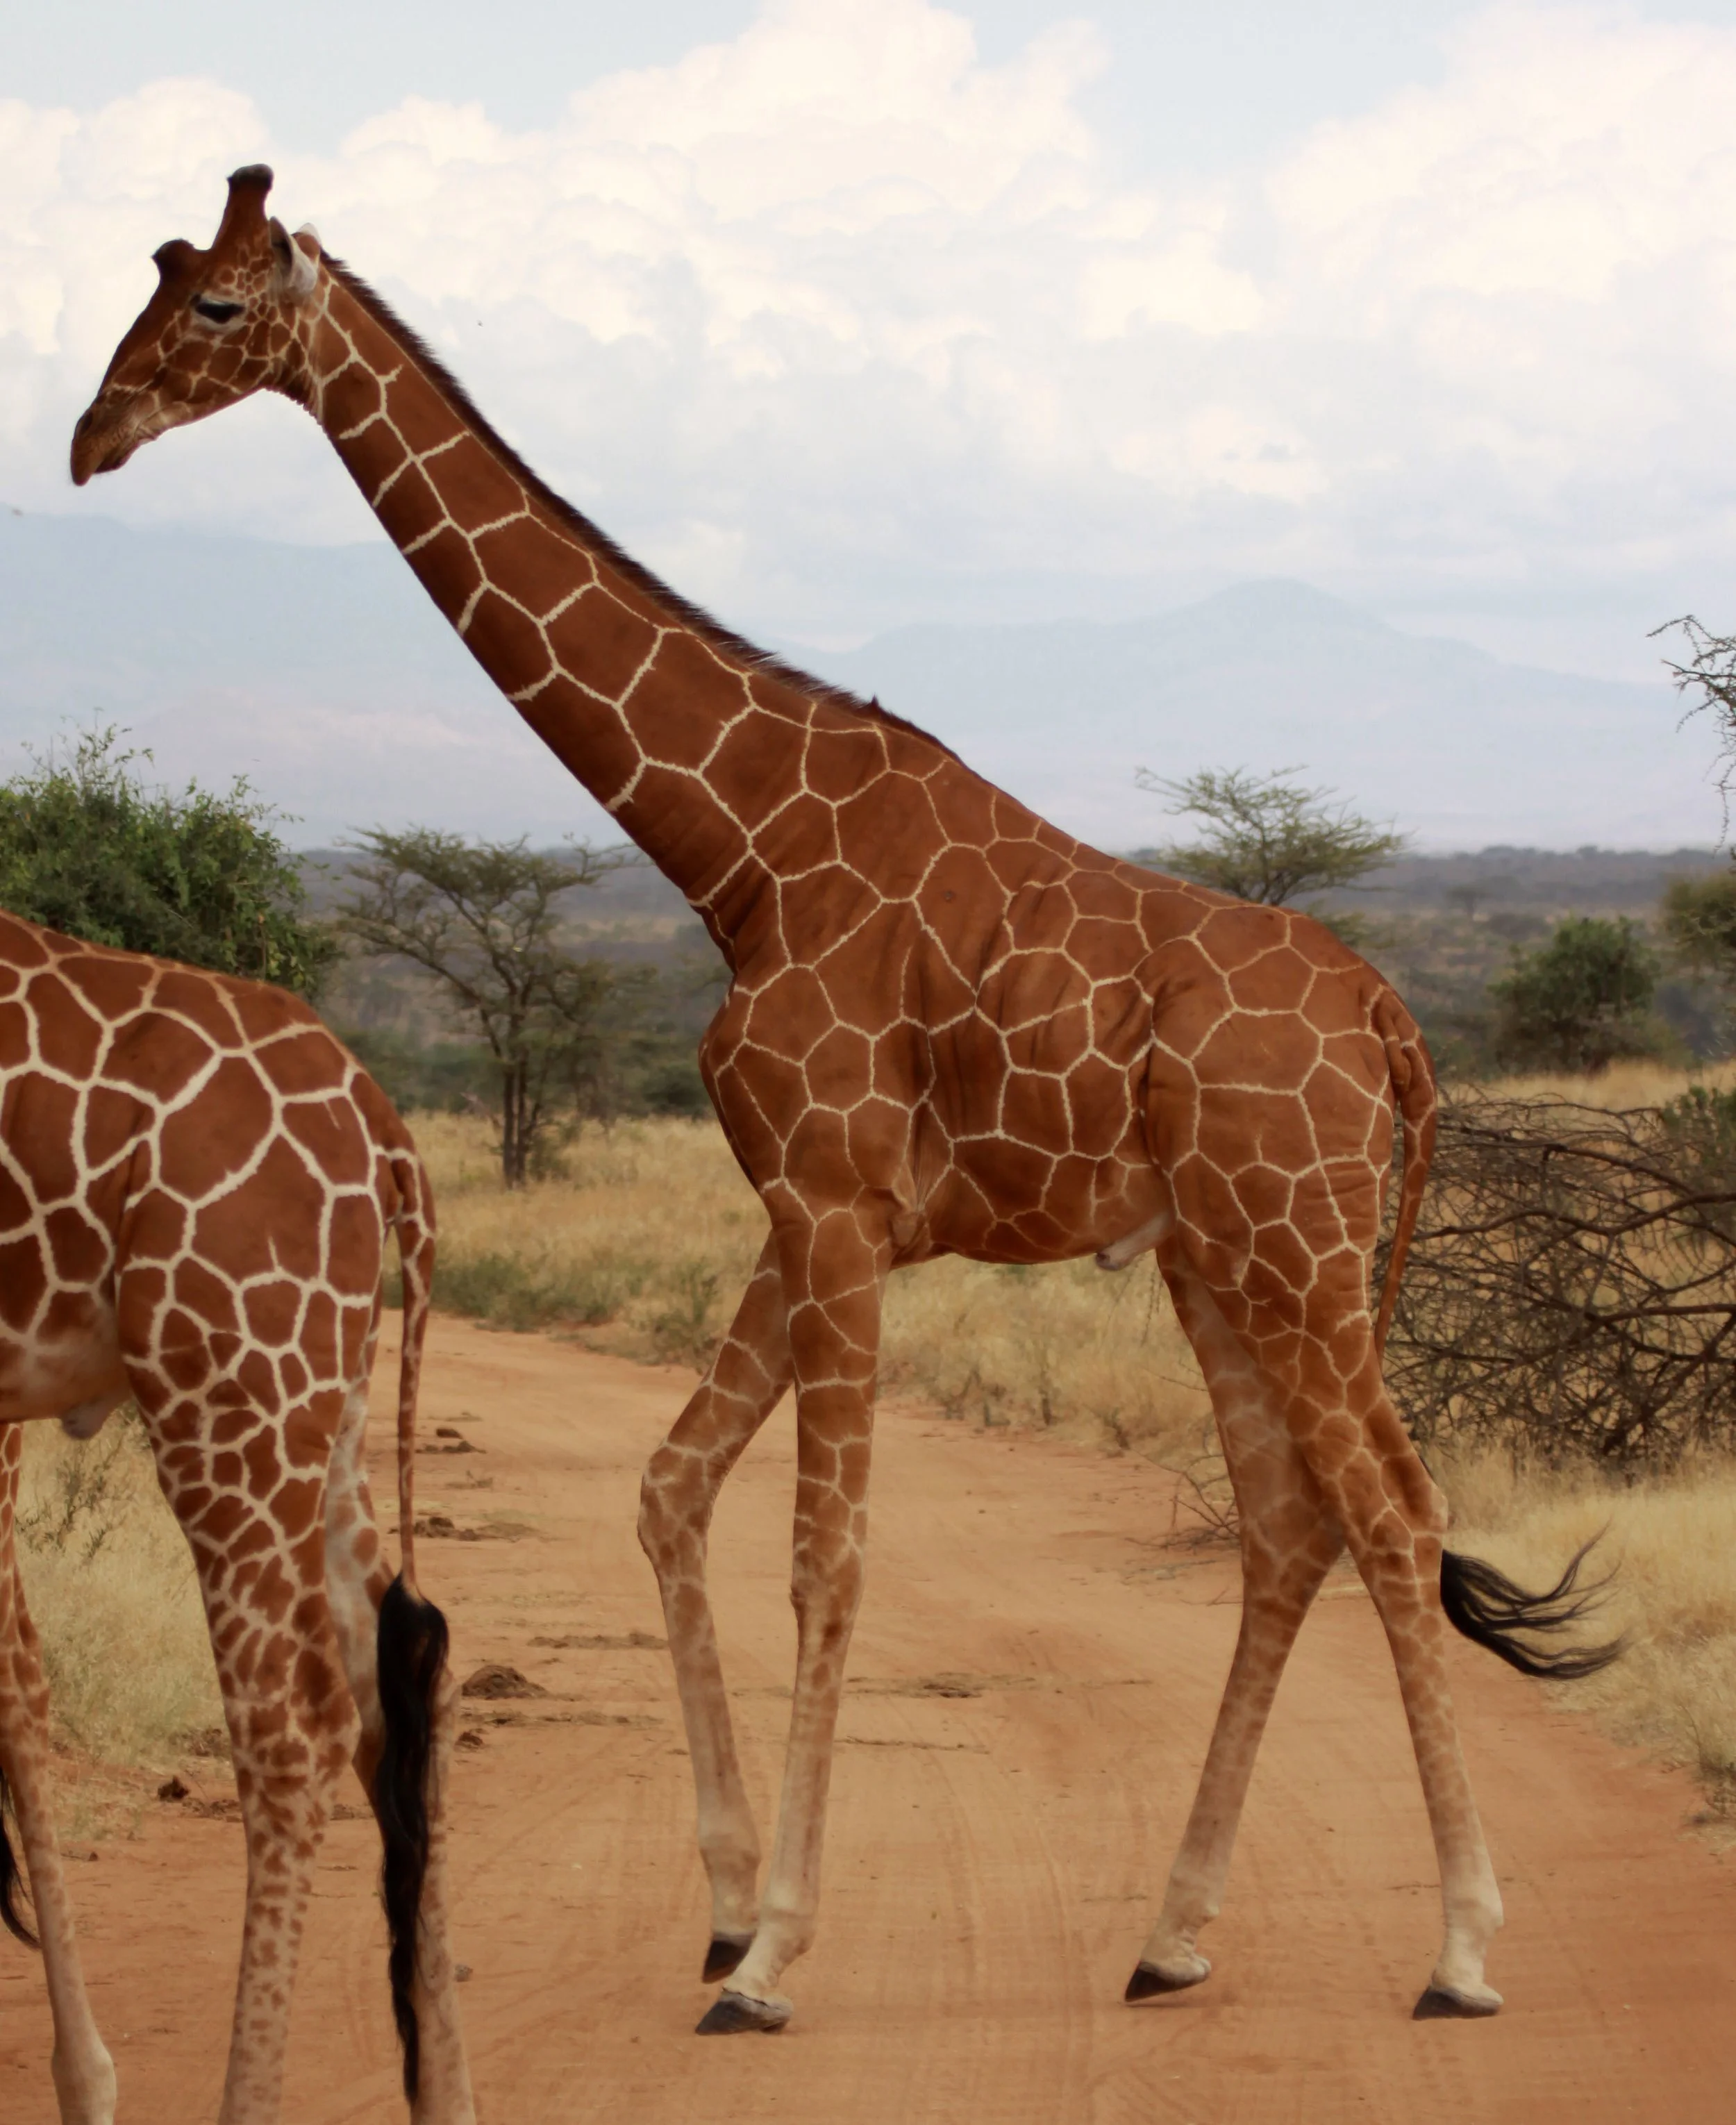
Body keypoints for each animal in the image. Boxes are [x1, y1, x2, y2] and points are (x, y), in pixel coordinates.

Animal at [71, 165, 1614, 2038]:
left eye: (217, 306)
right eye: (157, 279)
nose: (89, 435)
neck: (735, 844)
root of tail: (1393, 1021)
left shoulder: (832, 1202)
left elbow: (827, 1555)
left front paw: (773, 1955)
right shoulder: (803, 1206)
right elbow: (669, 1491)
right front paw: (729, 1908)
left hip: (1299, 1247)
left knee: (1394, 1514)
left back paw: (1458, 1950)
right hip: (1213, 1261)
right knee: (1284, 1527)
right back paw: (1171, 1937)